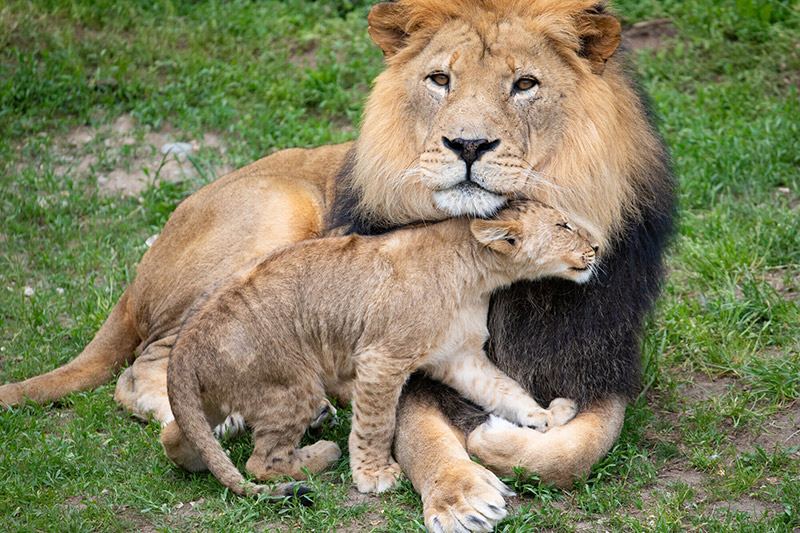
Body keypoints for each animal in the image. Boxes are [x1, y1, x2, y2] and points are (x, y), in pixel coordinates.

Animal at [163, 200, 595, 496]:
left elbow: (504, 389)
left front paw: (544, 416)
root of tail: (182, 347)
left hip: (216, 396)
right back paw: (321, 452)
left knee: (174, 438)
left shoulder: (460, 356)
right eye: (563, 224)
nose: (595, 247)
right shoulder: (381, 359)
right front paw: (374, 475)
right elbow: (376, 424)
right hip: (291, 385)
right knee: (261, 462)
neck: (476, 273)